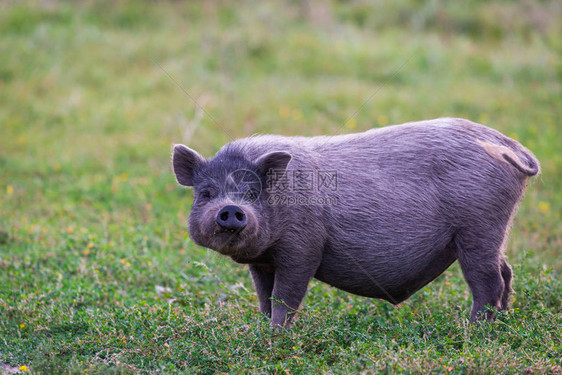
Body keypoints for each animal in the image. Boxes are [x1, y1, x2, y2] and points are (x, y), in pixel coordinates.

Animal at [172, 118, 540, 328]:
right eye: (206, 192)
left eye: (252, 192)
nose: (231, 209)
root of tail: (509, 147)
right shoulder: (262, 261)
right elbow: (265, 297)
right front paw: (261, 331)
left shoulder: (303, 247)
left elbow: (286, 296)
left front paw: (277, 336)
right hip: (491, 232)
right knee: (506, 271)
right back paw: (502, 322)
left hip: (478, 228)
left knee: (488, 281)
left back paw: (475, 331)